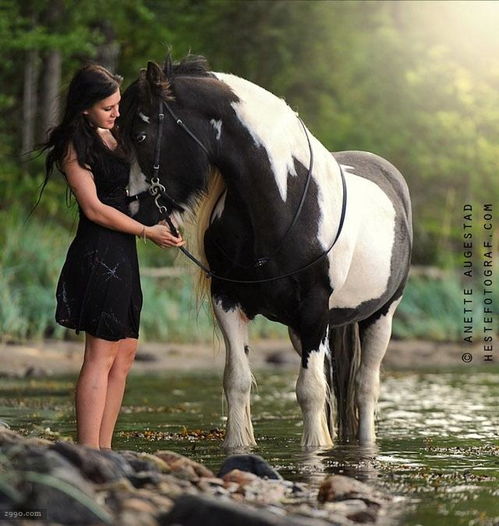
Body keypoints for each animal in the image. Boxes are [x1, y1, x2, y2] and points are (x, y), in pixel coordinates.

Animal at [121, 56, 414, 450]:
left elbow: (309, 391)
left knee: (365, 388)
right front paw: (239, 445)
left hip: (380, 315)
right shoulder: (228, 301)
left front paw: (315, 450)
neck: (281, 203)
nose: (135, 212)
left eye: (140, 135)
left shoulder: (314, 312)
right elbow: (237, 380)